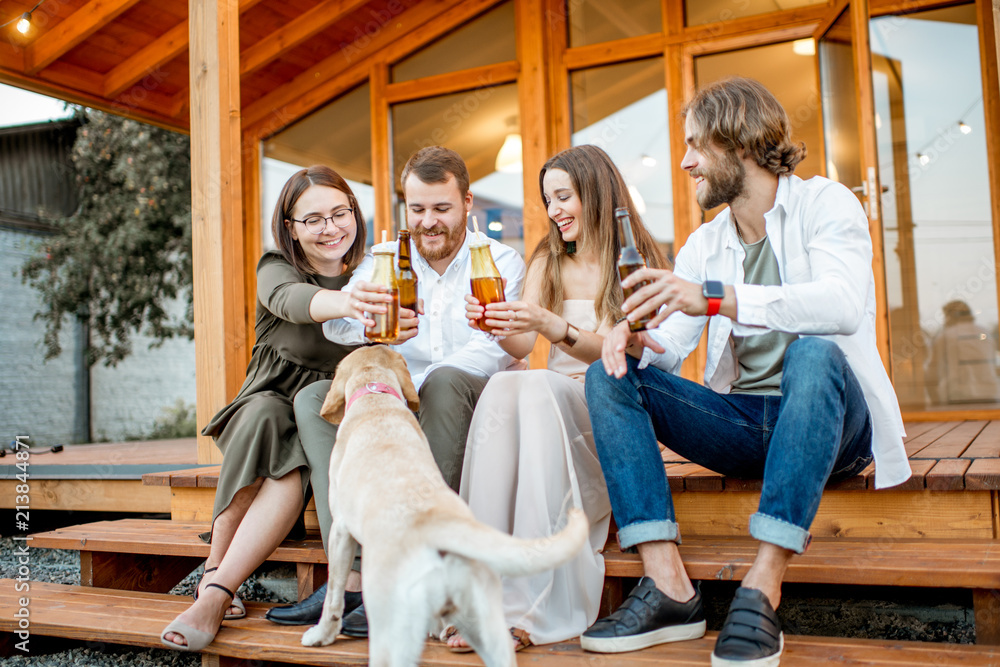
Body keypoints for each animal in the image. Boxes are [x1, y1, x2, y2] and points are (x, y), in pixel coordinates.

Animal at [300, 348, 588, 667]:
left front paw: (322, 634)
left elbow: (334, 594)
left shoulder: (341, 531)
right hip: (489, 629)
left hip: (390, 632)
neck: (376, 399)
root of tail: (438, 523)